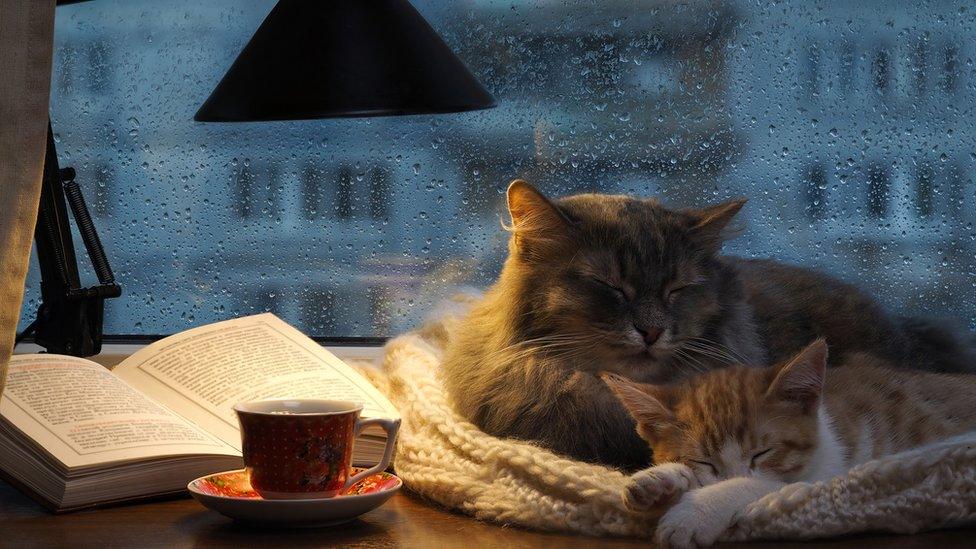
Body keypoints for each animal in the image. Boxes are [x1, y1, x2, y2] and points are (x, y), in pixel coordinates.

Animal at [604, 340, 976, 544]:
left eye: (763, 453)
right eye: (703, 461)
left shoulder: (833, 471)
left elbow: (764, 485)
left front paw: (695, 511)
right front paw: (660, 480)